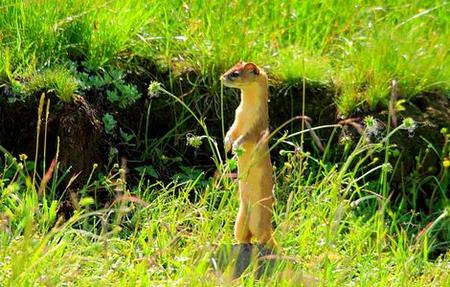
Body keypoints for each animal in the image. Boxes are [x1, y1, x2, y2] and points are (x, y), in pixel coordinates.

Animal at [220, 61, 276, 250]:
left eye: (235, 74)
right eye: (230, 68)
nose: (221, 77)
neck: (246, 112)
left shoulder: (256, 128)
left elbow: (245, 137)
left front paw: (236, 146)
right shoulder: (237, 119)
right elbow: (231, 132)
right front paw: (227, 143)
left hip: (260, 220)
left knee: (262, 237)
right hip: (240, 219)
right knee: (244, 235)